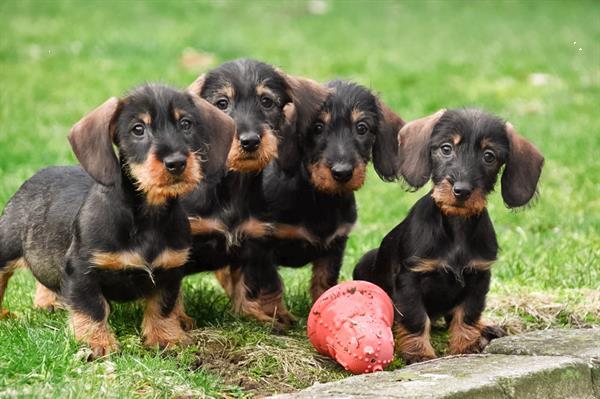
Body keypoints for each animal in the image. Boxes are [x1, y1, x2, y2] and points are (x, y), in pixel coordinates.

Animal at [0, 85, 234, 360]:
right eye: (138, 129)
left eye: (186, 124)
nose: (176, 163)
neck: (147, 217)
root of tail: (35, 176)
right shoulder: (81, 272)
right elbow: (92, 308)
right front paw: (97, 342)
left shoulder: (170, 270)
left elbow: (163, 306)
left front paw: (165, 338)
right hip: (6, 247)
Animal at [216, 79, 404, 330]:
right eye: (317, 127)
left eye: (362, 128)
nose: (342, 173)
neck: (317, 197)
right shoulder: (261, 244)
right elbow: (270, 283)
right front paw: (278, 315)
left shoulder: (335, 245)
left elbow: (324, 281)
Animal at [352, 108, 544, 364]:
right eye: (446, 148)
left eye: (489, 156)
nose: (461, 191)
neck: (456, 228)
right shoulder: (410, 278)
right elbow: (416, 318)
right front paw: (418, 353)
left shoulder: (479, 277)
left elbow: (467, 315)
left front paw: (465, 346)